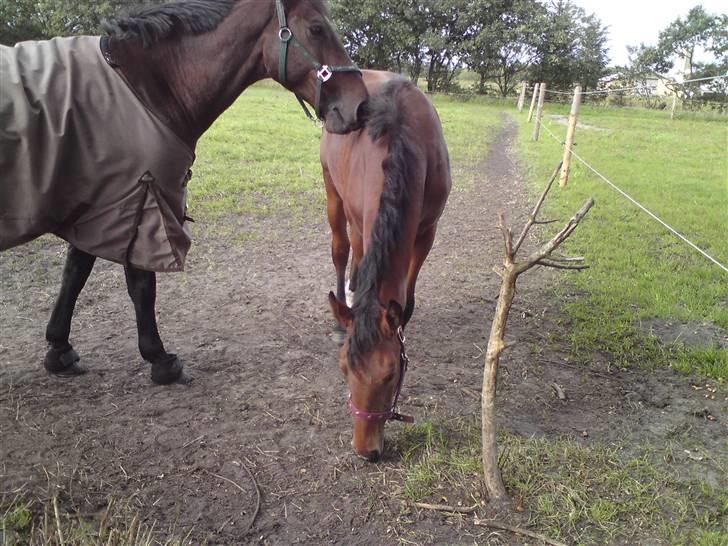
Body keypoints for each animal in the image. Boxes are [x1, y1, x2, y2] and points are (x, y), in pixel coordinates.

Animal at [1, 0, 370, 382]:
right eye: (316, 29)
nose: (361, 105)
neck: (145, 86)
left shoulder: (103, 203)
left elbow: (75, 273)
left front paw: (59, 349)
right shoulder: (143, 197)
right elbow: (141, 284)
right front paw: (160, 359)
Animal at [322, 69, 452, 460]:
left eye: (392, 373)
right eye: (343, 369)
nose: (366, 451)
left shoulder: (427, 232)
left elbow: (406, 302)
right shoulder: (364, 222)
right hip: (334, 195)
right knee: (341, 250)